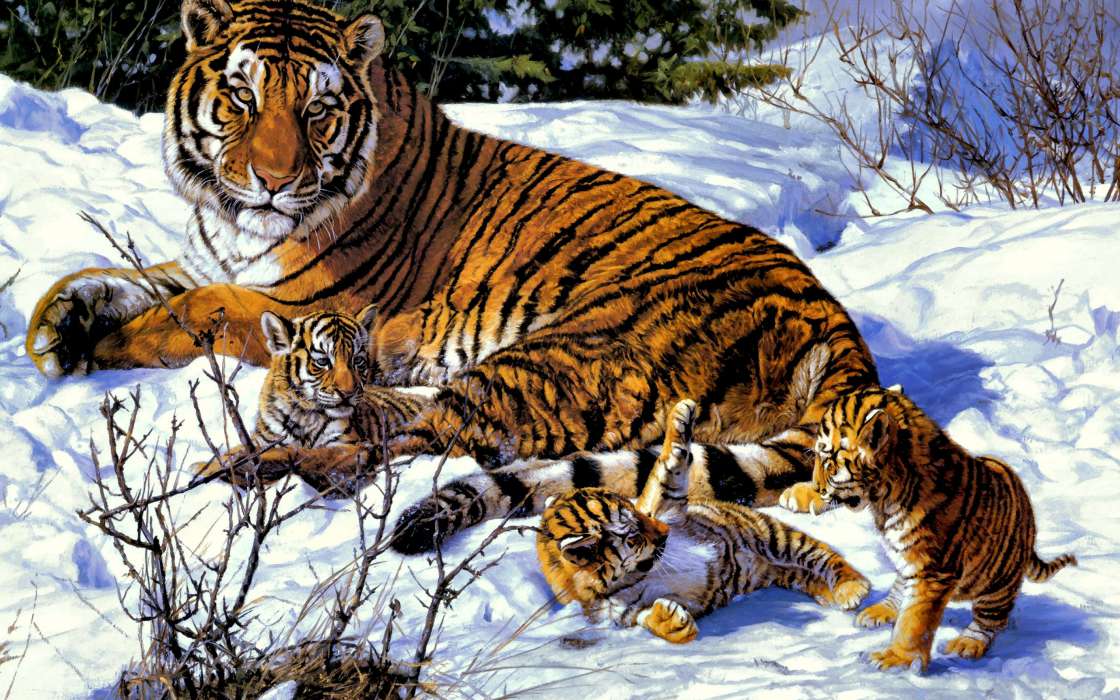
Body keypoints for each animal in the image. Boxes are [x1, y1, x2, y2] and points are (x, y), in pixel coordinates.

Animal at [196, 306, 429, 493]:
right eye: (323, 361)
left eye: (357, 361)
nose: (348, 392)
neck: (303, 414)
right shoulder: (264, 439)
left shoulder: (346, 445)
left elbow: (311, 455)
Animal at [537, 400, 871, 644]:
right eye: (632, 537)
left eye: (637, 513)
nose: (665, 532)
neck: (636, 574)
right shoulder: (622, 612)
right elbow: (648, 619)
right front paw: (672, 621)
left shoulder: (665, 505)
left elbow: (665, 467)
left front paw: (680, 415)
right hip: (782, 568)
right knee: (810, 571)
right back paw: (838, 595)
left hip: (773, 536)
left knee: (825, 557)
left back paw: (852, 588)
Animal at [788, 387, 1077, 671]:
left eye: (827, 458)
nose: (818, 487)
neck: (883, 500)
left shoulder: (934, 572)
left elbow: (915, 620)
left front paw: (897, 659)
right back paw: (880, 611)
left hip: (998, 584)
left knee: (992, 619)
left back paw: (968, 644)